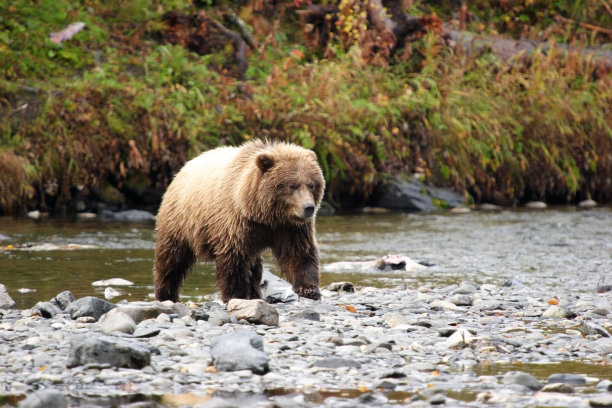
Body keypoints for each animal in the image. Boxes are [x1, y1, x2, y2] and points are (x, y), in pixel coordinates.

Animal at [153, 140, 326, 302]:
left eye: (311, 184)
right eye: (292, 185)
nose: (308, 207)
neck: (265, 216)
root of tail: (184, 167)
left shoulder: (290, 228)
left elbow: (299, 251)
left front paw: (309, 289)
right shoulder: (236, 222)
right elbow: (234, 258)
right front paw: (236, 294)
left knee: (255, 267)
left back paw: (256, 294)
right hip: (181, 220)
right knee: (172, 259)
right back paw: (166, 294)